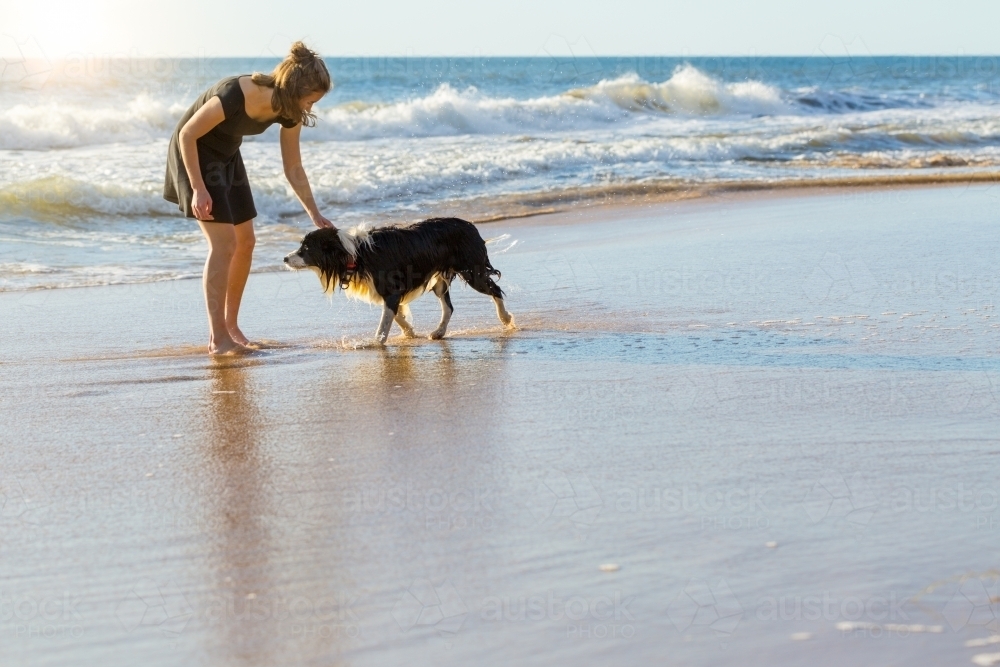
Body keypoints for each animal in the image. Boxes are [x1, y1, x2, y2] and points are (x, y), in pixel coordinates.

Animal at [282, 219, 516, 344]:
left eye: (305, 249)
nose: (284, 258)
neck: (355, 254)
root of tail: (471, 226)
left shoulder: (391, 289)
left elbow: (385, 321)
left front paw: (376, 343)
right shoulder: (389, 292)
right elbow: (394, 314)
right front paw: (409, 331)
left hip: (472, 272)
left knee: (495, 290)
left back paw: (506, 319)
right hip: (440, 281)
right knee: (448, 307)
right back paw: (439, 332)